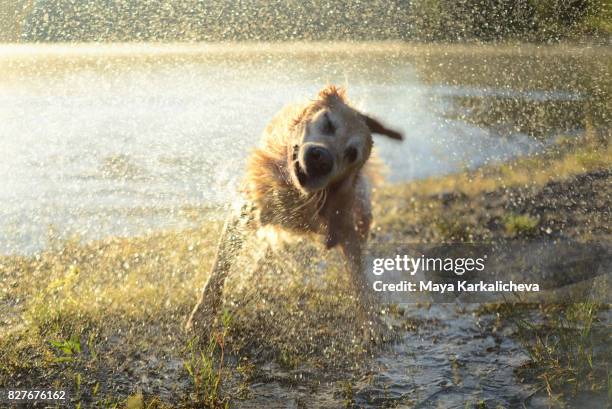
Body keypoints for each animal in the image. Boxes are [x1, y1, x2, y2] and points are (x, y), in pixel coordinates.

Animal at [185, 85, 402, 338]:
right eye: (328, 123)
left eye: (351, 154)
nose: (322, 159)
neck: (295, 193)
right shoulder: (246, 210)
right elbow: (219, 270)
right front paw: (202, 317)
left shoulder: (344, 223)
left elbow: (360, 279)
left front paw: (373, 323)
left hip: (363, 212)